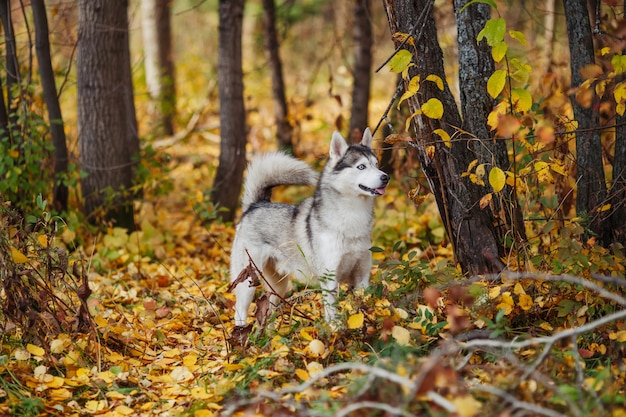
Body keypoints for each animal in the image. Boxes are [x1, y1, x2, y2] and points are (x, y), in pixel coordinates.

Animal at [227, 128, 388, 326]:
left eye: (376, 164)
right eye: (361, 167)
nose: (385, 177)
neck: (352, 218)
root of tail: (255, 205)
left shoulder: (362, 276)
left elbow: (363, 306)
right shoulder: (329, 279)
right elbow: (332, 312)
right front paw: (334, 329)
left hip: (278, 286)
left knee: (268, 311)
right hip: (248, 281)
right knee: (240, 312)